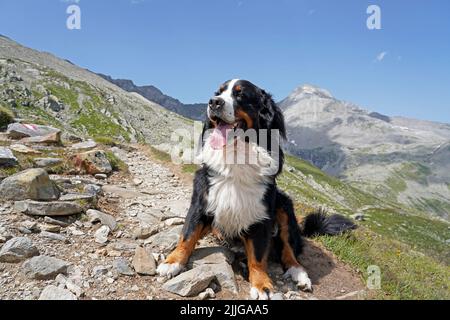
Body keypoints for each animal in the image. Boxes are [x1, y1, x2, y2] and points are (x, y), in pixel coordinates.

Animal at [156, 79, 356, 298]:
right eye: (218, 92)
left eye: (240, 95)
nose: (213, 102)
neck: (236, 156)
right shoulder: (201, 201)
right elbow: (188, 234)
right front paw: (173, 261)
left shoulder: (259, 215)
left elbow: (259, 256)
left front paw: (261, 285)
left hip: (284, 205)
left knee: (288, 249)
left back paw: (299, 274)